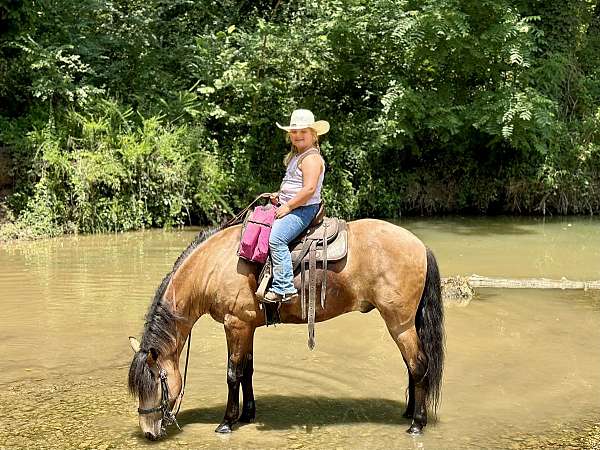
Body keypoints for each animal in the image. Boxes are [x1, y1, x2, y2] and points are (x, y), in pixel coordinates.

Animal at [127, 218, 446, 440]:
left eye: (155, 382)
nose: (148, 432)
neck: (214, 265)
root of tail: (420, 246)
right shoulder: (247, 326)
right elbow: (247, 371)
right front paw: (248, 414)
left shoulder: (235, 325)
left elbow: (232, 374)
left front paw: (227, 422)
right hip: (404, 325)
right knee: (412, 366)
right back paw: (408, 412)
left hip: (399, 323)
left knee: (418, 365)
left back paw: (417, 424)